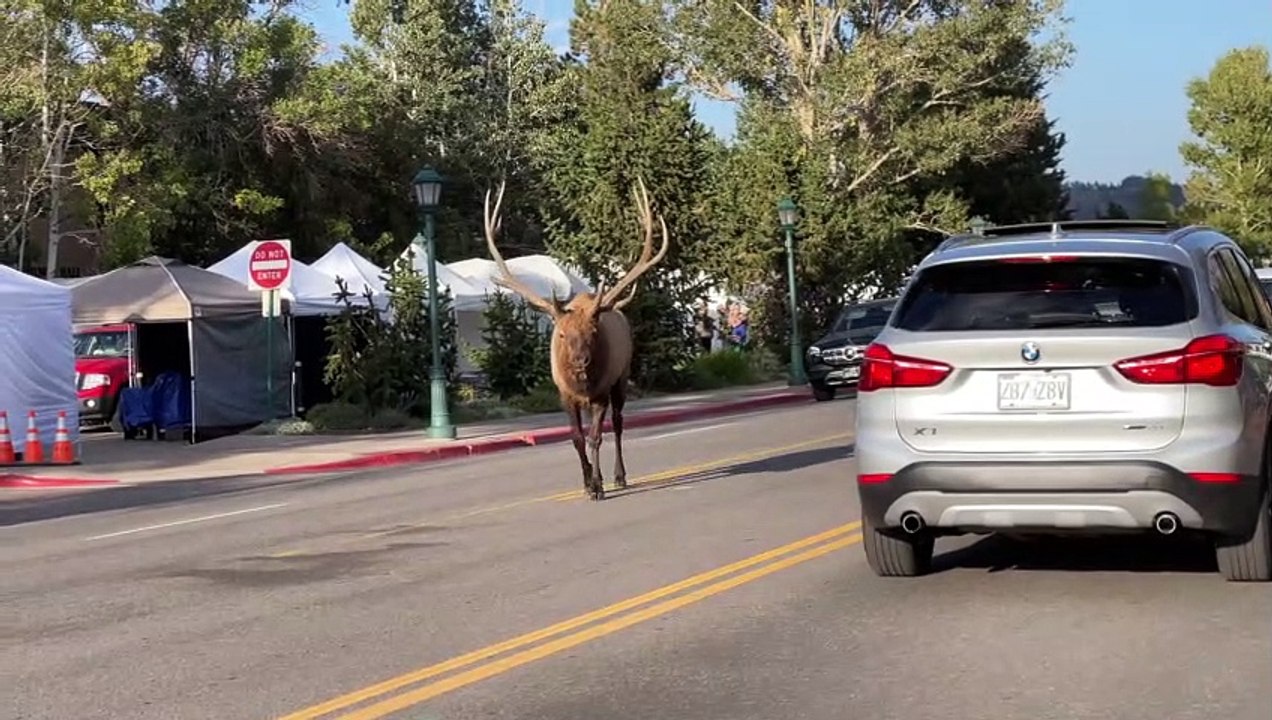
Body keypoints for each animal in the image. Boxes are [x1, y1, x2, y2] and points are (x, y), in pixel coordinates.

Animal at [483, 177, 669, 500]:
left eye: (593, 331)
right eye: (562, 334)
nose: (581, 359)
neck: (582, 384)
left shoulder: (601, 393)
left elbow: (595, 437)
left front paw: (597, 486)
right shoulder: (565, 395)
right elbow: (576, 438)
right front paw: (586, 483)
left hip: (621, 377)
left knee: (618, 424)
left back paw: (619, 476)